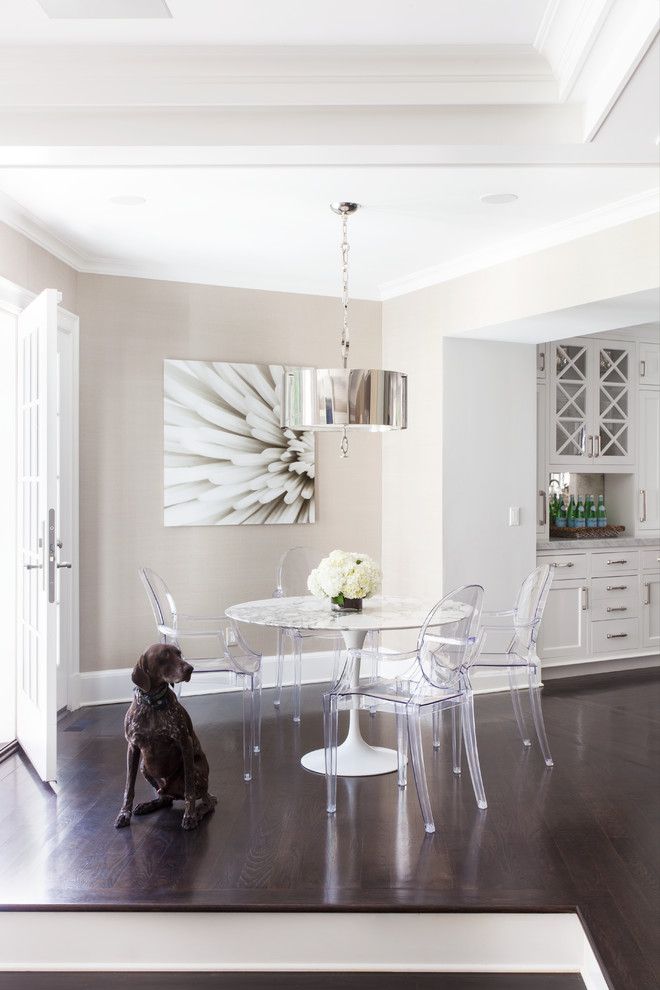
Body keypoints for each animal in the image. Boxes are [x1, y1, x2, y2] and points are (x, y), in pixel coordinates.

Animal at [113, 644, 217, 828]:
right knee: (165, 798)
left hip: (197, 771)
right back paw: (149, 805)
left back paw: (198, 812)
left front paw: (190, 815)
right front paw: (124, 813)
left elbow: (189, 790)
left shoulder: (184, 742)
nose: (190, 668)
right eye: (164, 656)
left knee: (207, 801)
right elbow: (129, 787)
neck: (153, 703)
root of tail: (171, 791)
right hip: (144, 767)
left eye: (179, 654)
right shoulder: (132, 746)